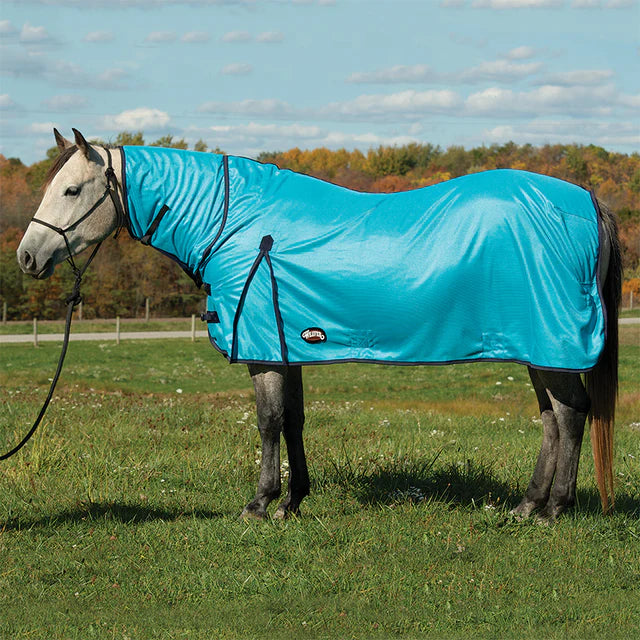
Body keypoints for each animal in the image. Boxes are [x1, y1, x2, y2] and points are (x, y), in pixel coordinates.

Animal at [16, 128, 621, 521]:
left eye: (71, 190)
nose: (26, 257)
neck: (233, 220)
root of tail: (586, 203)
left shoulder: (261, 348)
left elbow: (267, 422)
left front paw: (260, 504)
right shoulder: (287, 345)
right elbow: (294, 421)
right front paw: (293, 500)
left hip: (552, 345)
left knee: (571, 414)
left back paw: (554, 510)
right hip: (540, 348)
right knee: (553, 418)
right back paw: (528, 505)